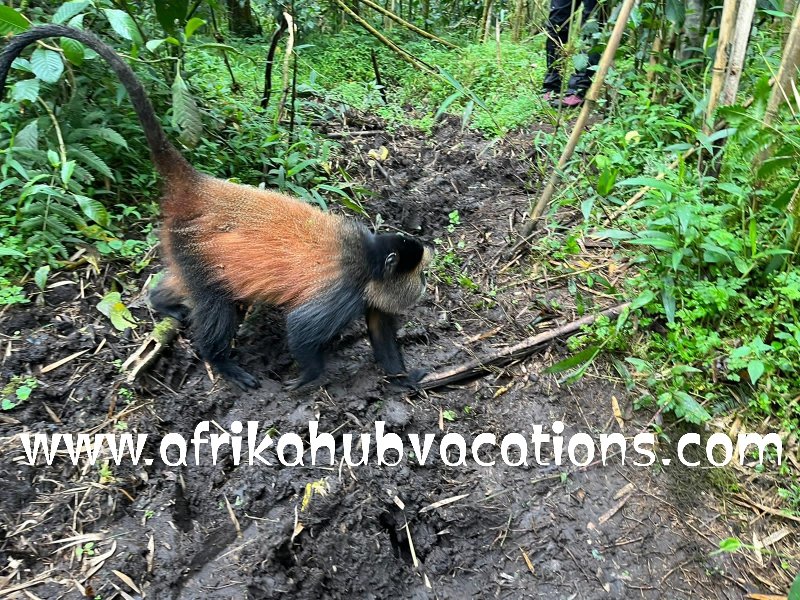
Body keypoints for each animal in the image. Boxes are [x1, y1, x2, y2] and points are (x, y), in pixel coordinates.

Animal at [0, 25, 433, 391]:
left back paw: (161, 302)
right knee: (215, 301)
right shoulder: (344, 290)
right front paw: (308, 377)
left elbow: (380, 332)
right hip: (193, 245)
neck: (370, 258)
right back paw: (219, 361)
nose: (426, 286)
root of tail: (198, 187)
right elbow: (301, 330)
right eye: (420, 274)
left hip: (181, 244)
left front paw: (405, 379)